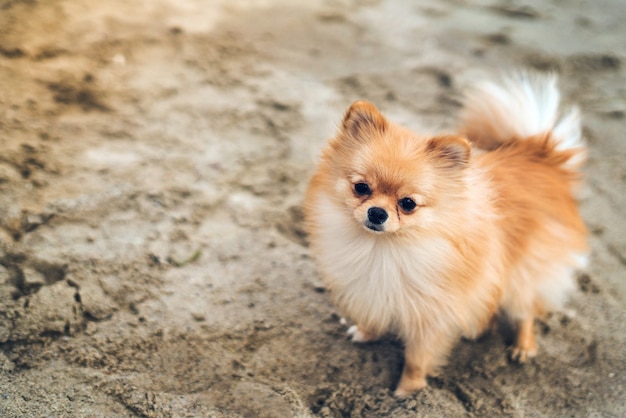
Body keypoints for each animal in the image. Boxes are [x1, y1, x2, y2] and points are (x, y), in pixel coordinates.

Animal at [302, 73, 584, 396]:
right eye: (361, 188)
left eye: (408, 204)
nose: (377, 213)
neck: (384, 247)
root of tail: (541, 153)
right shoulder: (373, 289)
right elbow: (374, 313)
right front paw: (366, 332)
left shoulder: (431, 315)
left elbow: (417, 358)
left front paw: (408, 392)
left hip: (524, 271)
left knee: (526, 309)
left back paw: (523, 346)